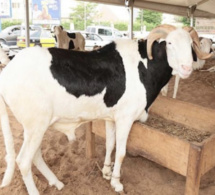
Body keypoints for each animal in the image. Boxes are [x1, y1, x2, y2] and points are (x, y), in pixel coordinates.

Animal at [0, 24, 212, 195]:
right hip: (36, 125)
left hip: (35, 127)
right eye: (169, 43)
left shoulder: (111, 117)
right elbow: (121, 151)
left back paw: (56, 182)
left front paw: (106, 171)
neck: (143, 67)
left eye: (191, 45)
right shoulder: (126, 118)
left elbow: (110, 145)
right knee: (23, 161)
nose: (186, 68)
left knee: (35, 156)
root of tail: (7, 71)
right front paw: (116, 182)